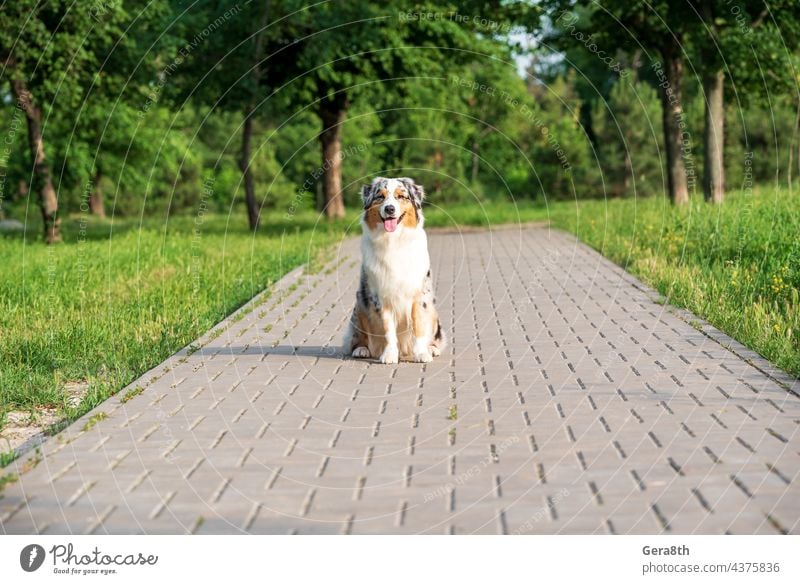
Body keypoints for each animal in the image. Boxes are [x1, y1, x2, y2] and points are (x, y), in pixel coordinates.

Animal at [342, 176, 446, 362]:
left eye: (401, 196)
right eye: (380, 197)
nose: (389, 209)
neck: (393, 240)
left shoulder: (419, 295)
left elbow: (419, 326)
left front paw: (421, 353)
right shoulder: (381, 295)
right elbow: (388, 330)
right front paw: (390, 354)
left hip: (433, 311)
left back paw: (432, 348)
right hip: (360, 304)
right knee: (356, 337)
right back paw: (361, 349)